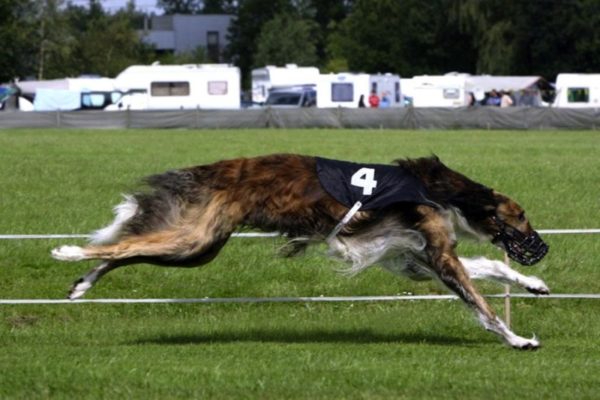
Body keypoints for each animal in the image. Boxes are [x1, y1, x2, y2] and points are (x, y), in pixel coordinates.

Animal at [51, 155, 548, 348]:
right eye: (521, 215)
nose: (541, 248)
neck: (444, 193)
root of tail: (214, 170)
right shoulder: (436, 254)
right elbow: (482, 305)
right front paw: (519, 339)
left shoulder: (410, 259)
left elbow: (488, 268)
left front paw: (534, 284)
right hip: (195, 240)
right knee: (124, 244)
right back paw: (69, 254)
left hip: (200, 246)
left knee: (124, 252)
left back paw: (80, 285)